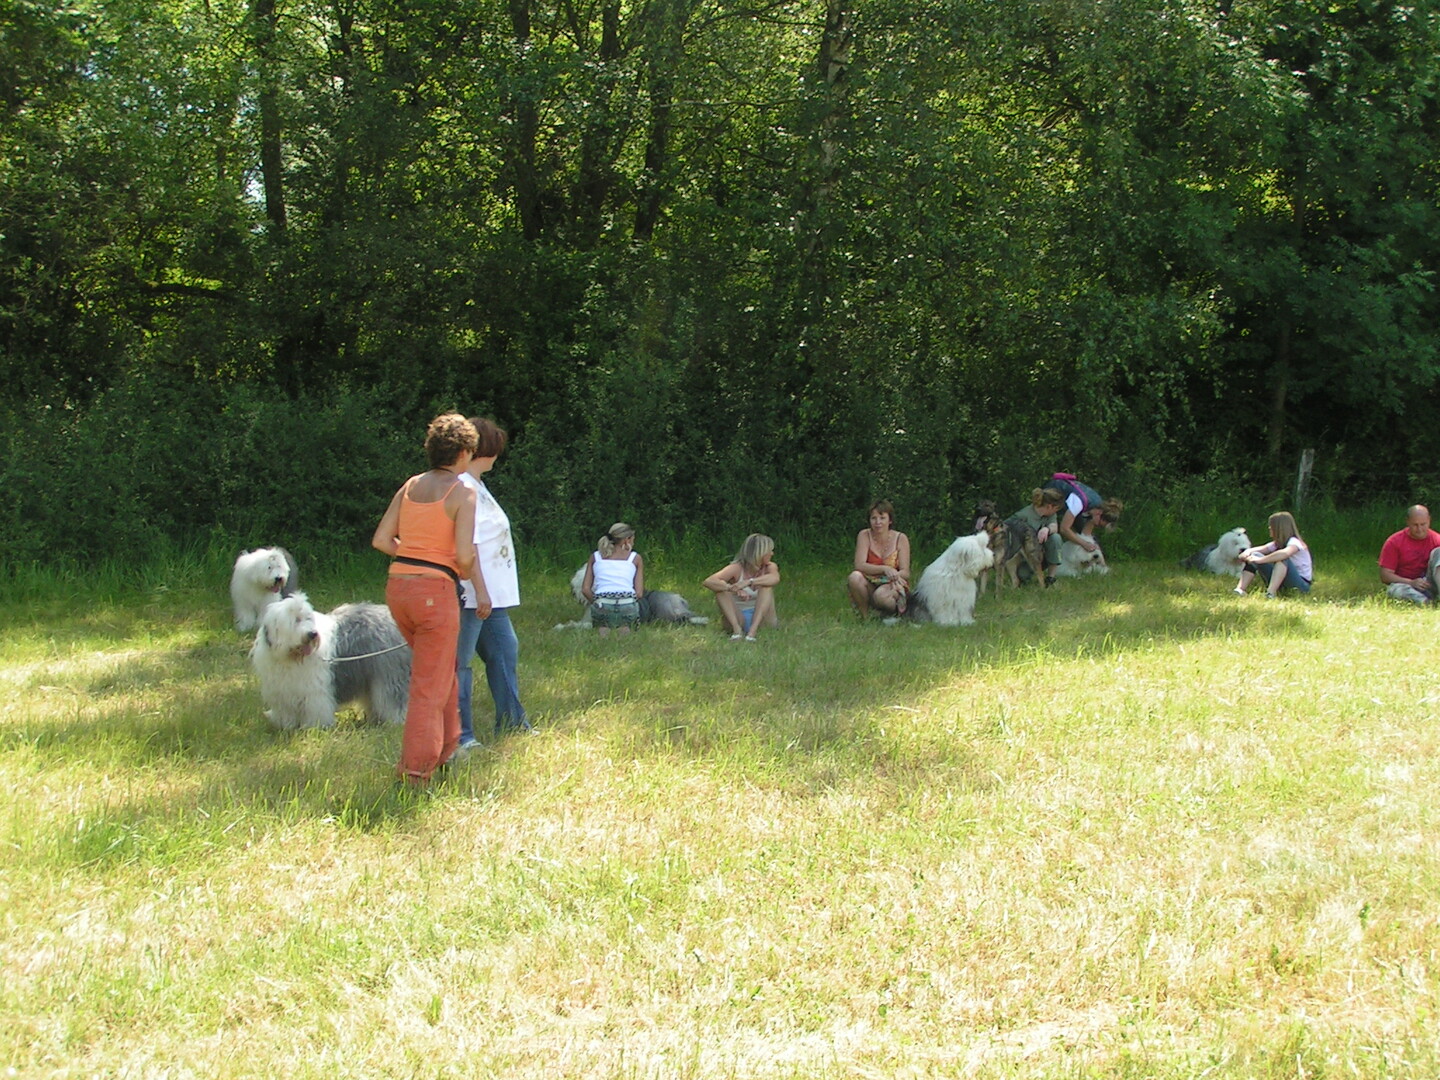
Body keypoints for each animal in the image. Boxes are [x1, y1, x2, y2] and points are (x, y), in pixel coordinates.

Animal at [249, 593, 411, 730]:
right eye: (296, 620)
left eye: (308, 618)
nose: (312, 634)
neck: (292, 657)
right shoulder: (282, 692)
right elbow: (285, 712)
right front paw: (285, 726)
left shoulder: (314, 692)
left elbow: (315, 709)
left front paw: (313, 728)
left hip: (391, 673)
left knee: (394, 699)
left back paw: (397, 722)